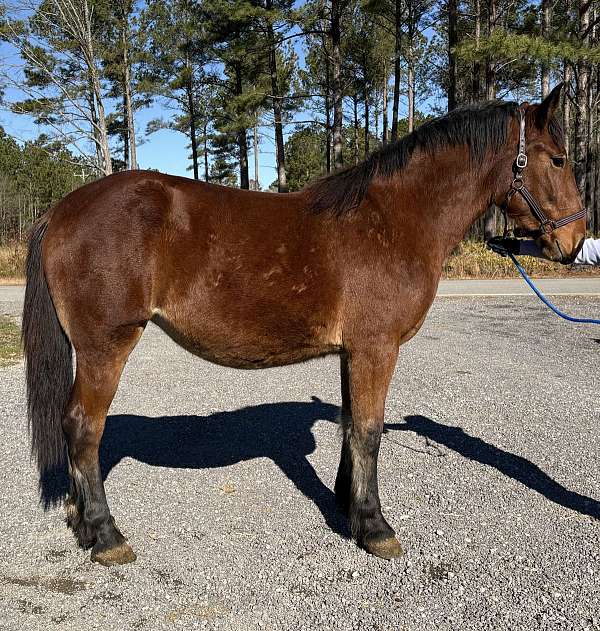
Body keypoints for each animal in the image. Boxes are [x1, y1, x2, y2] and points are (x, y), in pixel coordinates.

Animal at [23, 84, 584, 568]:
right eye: (558, 158)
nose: (576, 241)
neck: (393, 219)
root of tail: (62, 210)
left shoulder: (353, 351)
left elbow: (350, 423)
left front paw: (348, 505)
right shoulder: (376, 348)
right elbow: (369, 430)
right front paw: (375, 527)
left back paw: (82, 523)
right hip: (105, 347)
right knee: (83, 427)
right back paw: (106, 535)